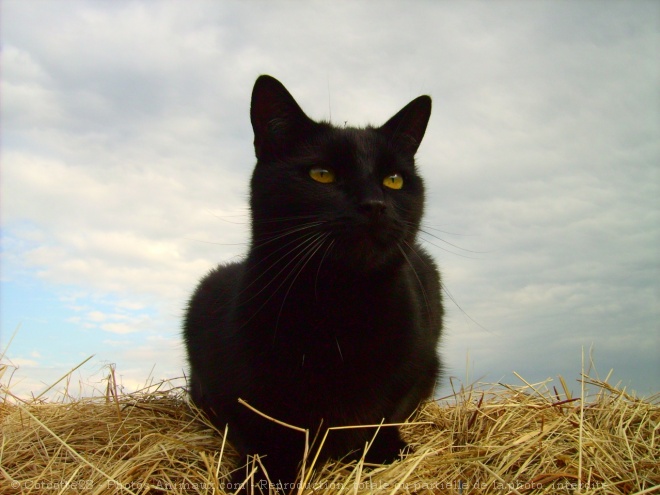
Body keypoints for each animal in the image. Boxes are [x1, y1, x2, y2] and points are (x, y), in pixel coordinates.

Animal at [184, 75, 444, 490]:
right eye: (322, 174)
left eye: (393, 180)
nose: (374, 204)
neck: (337, 307)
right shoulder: (216, 386)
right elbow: (260, 432)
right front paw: (263, 475)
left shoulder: (424, 367)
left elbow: (384, 417)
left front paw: (384, 449)